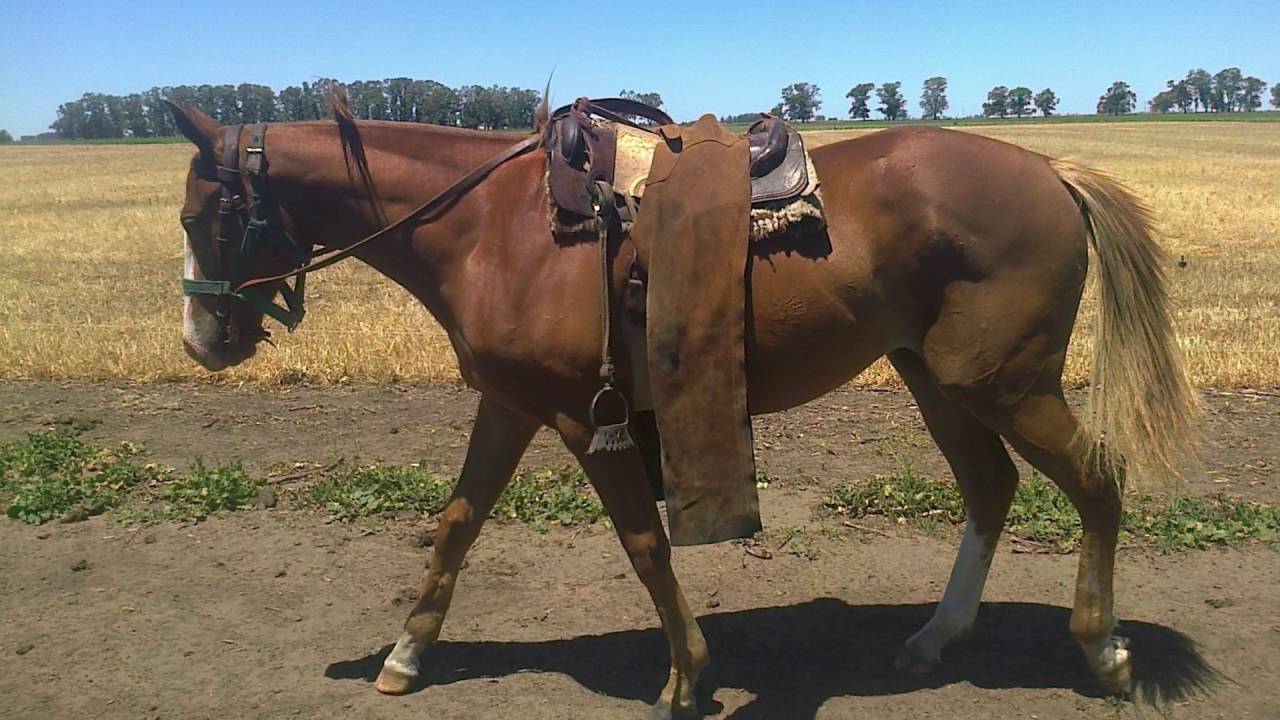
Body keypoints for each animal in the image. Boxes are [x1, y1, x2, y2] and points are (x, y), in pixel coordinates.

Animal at [166, 97, 1196, 717]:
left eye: (204, 216)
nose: (201, 340)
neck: (492, 228)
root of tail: (1050, 171)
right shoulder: (509, 405)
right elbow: (458, 522)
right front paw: (407, 655)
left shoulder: (588, 419)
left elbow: (644, 544)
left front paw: (686, 675)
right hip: (937, 378)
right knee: (990, 489)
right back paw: (939, 636)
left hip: (1005, 383)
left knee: (1096, 482)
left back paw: (1103, 650)